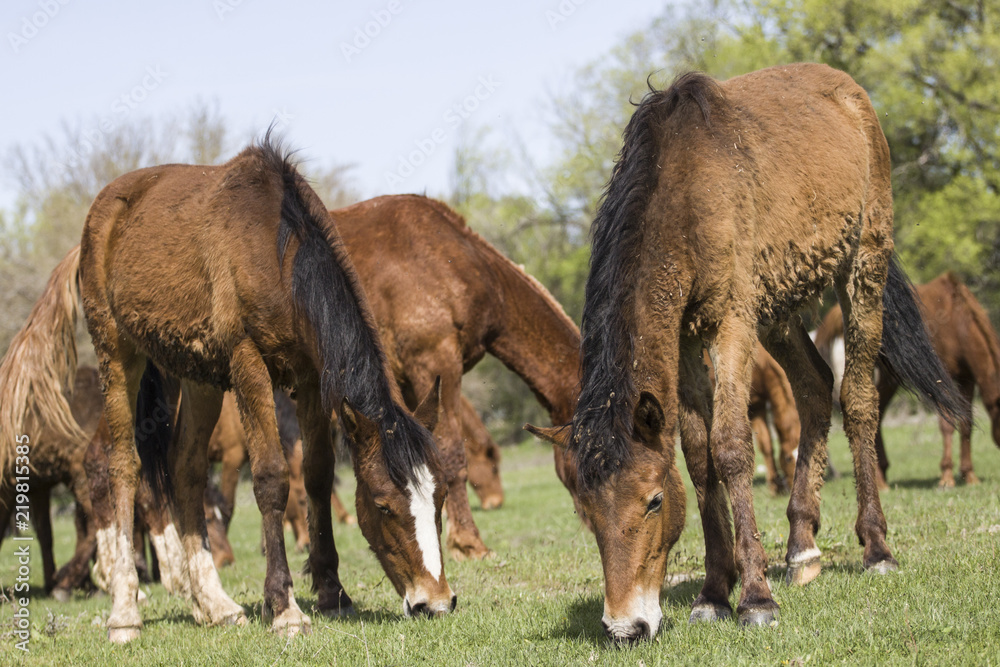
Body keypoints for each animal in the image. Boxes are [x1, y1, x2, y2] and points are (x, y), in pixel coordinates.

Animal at [24, 137, 452, 642]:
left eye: (440, 498)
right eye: (384, 506)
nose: (435, 602)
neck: (277, 251)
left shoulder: (309, 378)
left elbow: (317, 475)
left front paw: (332, 592)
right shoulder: (248, 364)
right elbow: (271, 477)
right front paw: (284, 607)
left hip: (198, 379)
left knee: (185, 469)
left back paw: (214, 604)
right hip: (118, 355)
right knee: (123, 467)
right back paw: (125, 611)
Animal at [527, 63, 968, 640]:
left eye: (654, 502)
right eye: (587, 511)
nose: (625, 627)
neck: (682, 190)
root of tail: (849, 92)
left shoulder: (731, 324)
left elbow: (732, 447)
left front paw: (756, 597)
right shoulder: (686, 339)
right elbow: (699, 457)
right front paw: (715, 592)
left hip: (861, 269)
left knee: (856, 400)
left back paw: (876, 548)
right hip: (779, 307)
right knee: (815, 387)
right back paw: (802, 548)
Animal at [815, 272, 1000, 487]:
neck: (957, 322)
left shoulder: (967, 379)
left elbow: (965, 423)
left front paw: (969, 475)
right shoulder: (939, 380)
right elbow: (947, 425)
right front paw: (946, 478)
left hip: (890, 379)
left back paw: (882, 473)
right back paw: (880, 480)